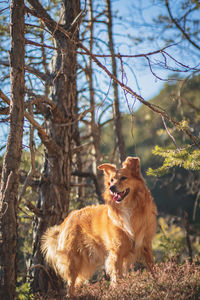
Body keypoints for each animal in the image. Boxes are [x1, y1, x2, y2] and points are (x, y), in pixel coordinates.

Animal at [40, 158, 156, 296]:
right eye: (111, 180)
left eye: (123, 178)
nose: (112, 188)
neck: (128, 208)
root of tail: (68, 218)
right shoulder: (116, 254)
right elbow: (117, 276)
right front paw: (118, 291)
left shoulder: (146, 246)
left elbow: (152, 267)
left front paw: (157, 282)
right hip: (73, 261)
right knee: (70, 284)